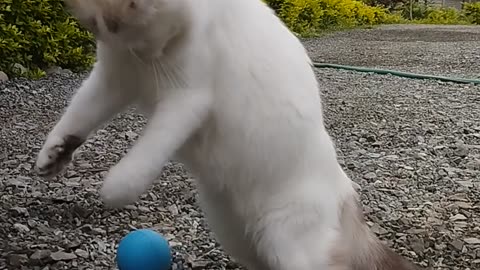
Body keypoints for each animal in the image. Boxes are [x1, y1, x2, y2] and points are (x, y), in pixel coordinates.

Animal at [36, 1, 420, 268]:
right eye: (101, 27)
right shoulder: (112, 79)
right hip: (241, 238)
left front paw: (114, 187)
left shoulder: (186, 98)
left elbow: (144, 156)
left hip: (287, 241)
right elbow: (77, 115)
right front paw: (53, 155)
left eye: (139, 26)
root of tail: (345, 190)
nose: (146, 54)